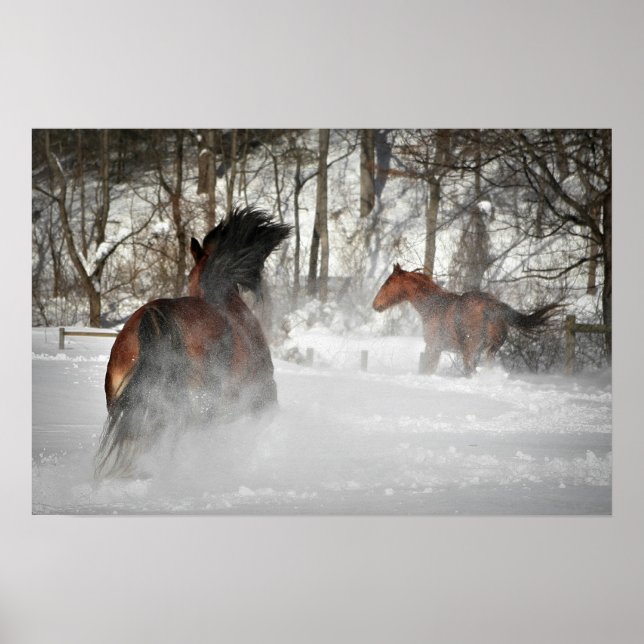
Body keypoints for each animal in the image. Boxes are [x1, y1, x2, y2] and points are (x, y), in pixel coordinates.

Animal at [372, 263, 560, 376]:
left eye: (388, 283)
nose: (375, 304)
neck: (433, 307)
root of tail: (492, 306)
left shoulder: (434, 347)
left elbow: (428, 369)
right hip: (490, 350)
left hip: (470, 350)